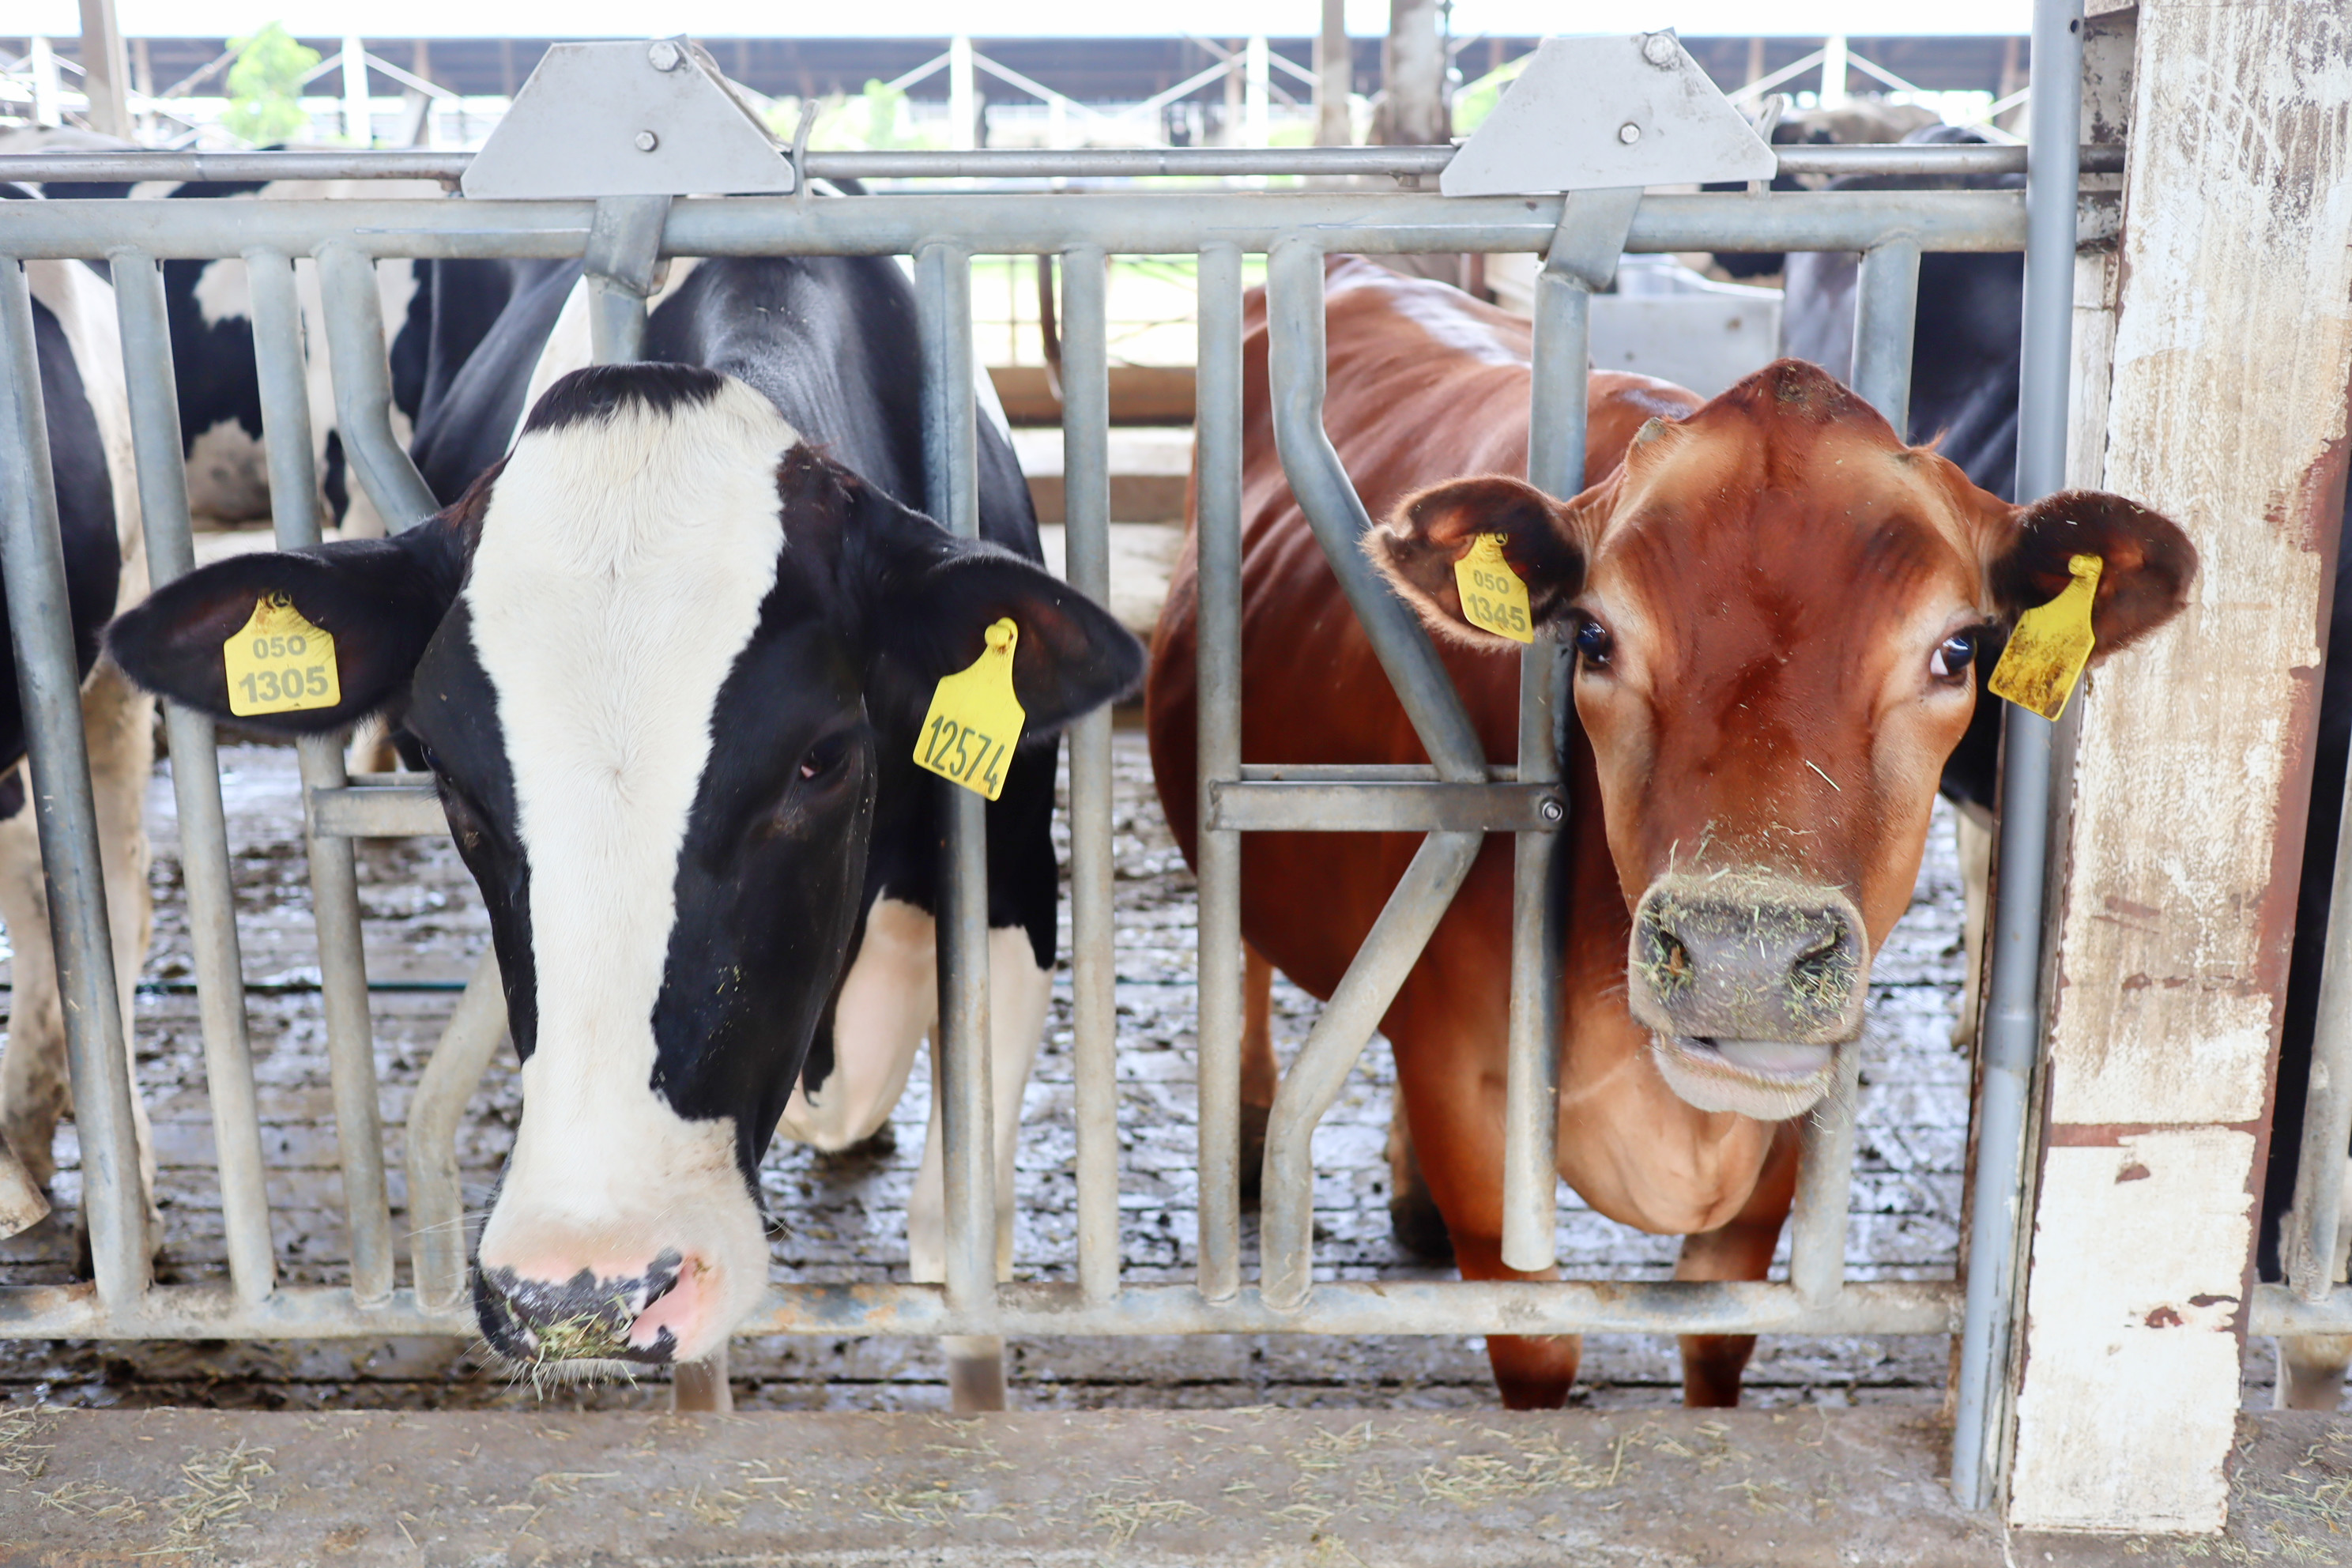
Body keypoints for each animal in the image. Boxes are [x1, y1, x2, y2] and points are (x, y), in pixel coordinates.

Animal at [1148, 261, 2192, 1410]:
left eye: (1958, 651)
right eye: (1594, 638)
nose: (1746, 955)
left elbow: (1717, 1341)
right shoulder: (1477, 1128)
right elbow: (1538, 1353)